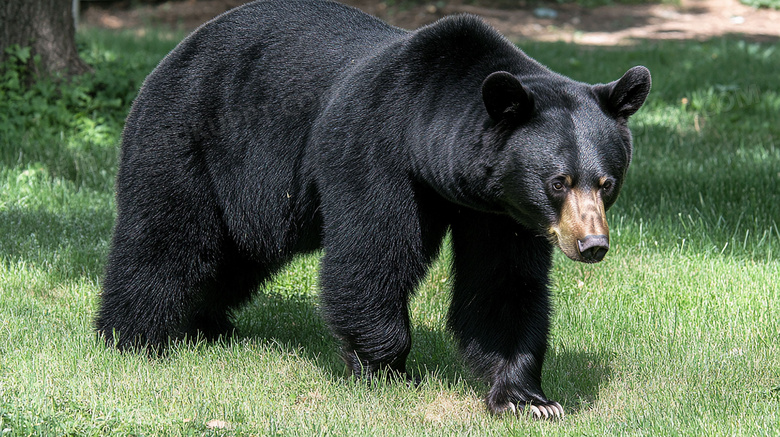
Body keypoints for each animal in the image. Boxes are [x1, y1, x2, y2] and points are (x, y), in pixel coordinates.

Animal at [94, 0, 648, 418]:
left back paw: (205, 323)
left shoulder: (500, 211)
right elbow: (372, 255)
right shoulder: (376, 151)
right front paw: (386, 371)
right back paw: (134, 337)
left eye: (607, 182)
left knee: (235, 257)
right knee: (165, 239)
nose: (592, 245)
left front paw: (526, 398)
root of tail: (178, 49)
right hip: (191, 139)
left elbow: (503, 284)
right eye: (558, 182)